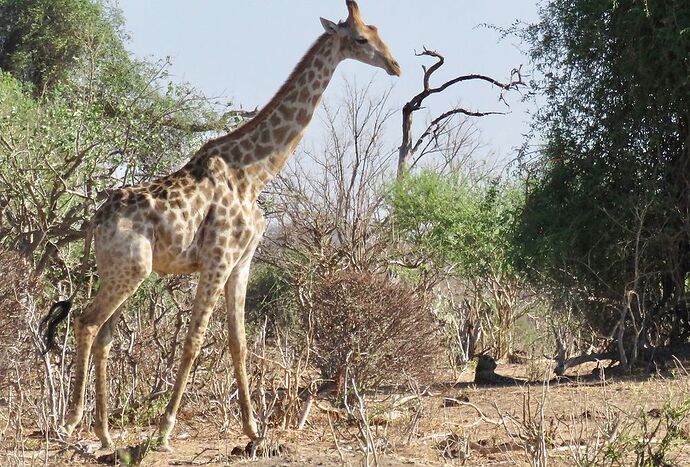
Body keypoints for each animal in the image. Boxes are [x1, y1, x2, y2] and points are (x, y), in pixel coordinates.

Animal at [43, 0, 398, 454]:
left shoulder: (242, 261)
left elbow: (239, 342)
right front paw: (164, 431)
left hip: (122, 272)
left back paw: (105, 434)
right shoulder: (217, 258)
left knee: (104, 333)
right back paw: (71, 423)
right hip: (131, 270)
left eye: (379, 30)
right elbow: (194, 340)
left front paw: (253, 430)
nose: (395, 66)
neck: (255, 174)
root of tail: (93, 221)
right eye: (360, 38)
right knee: (87, 322)